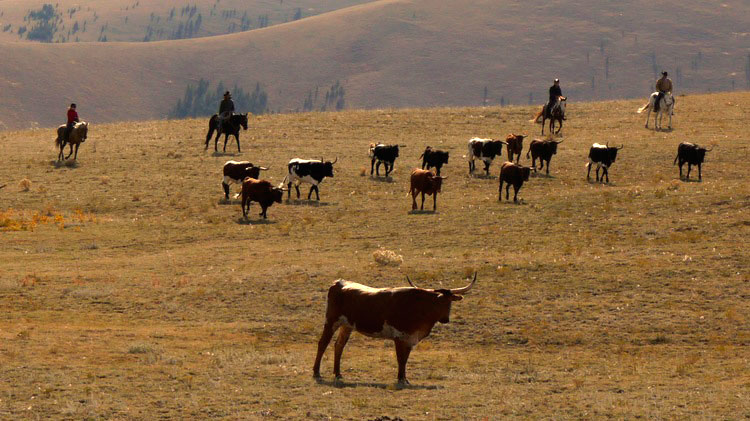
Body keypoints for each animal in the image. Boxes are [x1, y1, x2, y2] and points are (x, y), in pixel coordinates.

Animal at [314, 272, 478, 384]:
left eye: (450, 303)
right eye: (438, 302)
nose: (445, 320)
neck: (418, 307)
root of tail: (338, 282)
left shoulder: (410, 338)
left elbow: (405, 359)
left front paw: (405, 379)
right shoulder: (399, 337)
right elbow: (400, 359)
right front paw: (400, 379)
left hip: (346, 326)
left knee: (339, 345)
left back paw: (338, 374)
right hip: (331, 321)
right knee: (323, 344)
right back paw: (316, 372)